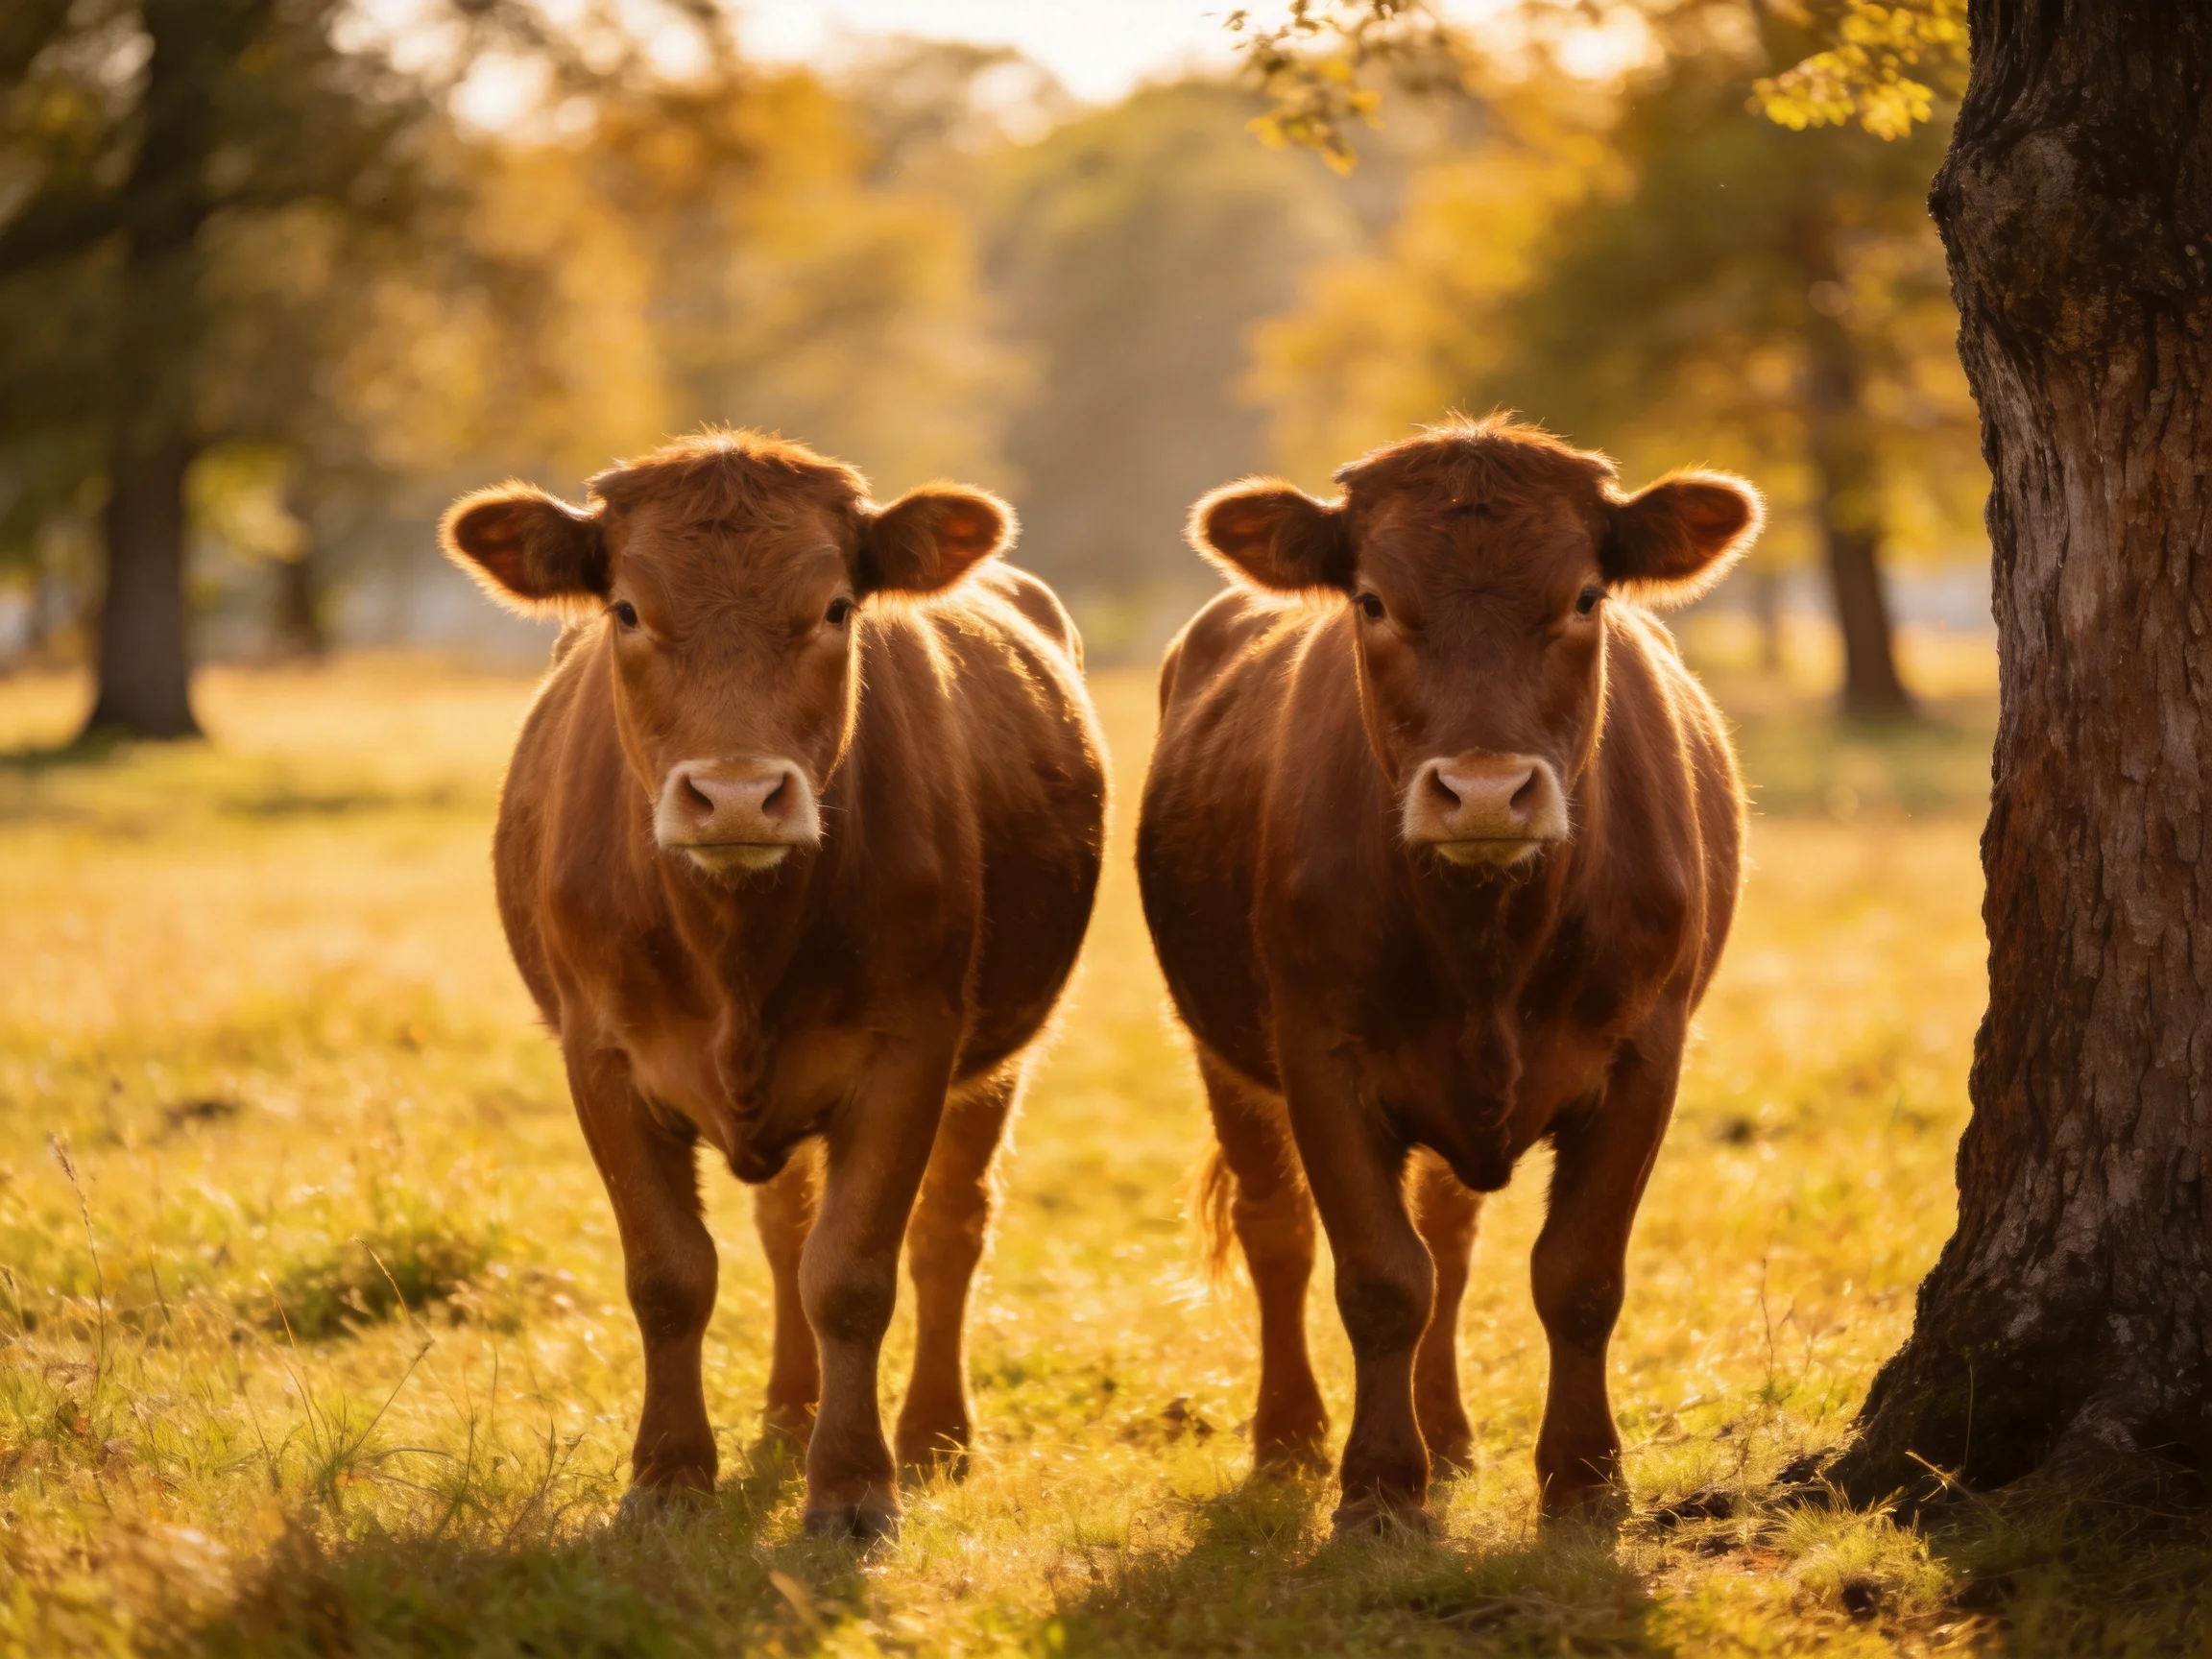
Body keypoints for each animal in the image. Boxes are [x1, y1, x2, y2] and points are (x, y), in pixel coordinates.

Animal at [441, 431, 1107, 1540]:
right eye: (628, 609)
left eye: (835, 607)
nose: (738, 795)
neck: (737, 948)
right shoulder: (601, 1056)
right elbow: (671, 1274)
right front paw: (669, 1478)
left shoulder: (911, 1051)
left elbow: (853, 1274)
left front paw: (853, 1487)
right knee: (785, 1228)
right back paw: (791, 1413)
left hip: (1000, 1057)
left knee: (950, 1227)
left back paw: (933, 1434)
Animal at [1136, 417, 1758, 1532]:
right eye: (1373, 600)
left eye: (1586, 596)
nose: (1483, 792)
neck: (1487, 943)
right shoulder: (1319, 1054)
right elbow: (1381, 1279)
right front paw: (1381, 1487)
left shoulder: (1648, 1051)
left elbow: (1577, 1275)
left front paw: (1585, 1480)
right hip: (1221, 1052)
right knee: (1278, 1231)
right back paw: (1288, 1437)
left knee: (1451, 1239)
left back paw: (1451, 1432)